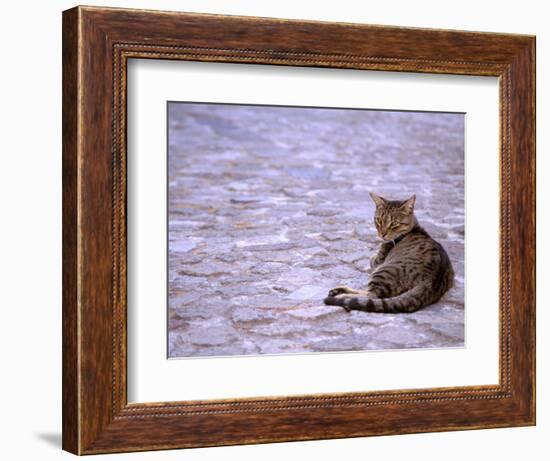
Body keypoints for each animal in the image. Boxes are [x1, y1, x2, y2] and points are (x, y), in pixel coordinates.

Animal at [324, 192, 458, 314]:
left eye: (394, 224)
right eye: (378, 220)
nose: (382, 234)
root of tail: (429, 282)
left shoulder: (378, 261)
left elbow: (372, 260)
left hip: (383, 272)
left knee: (371, 296)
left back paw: (340, 296)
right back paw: (338, 291)